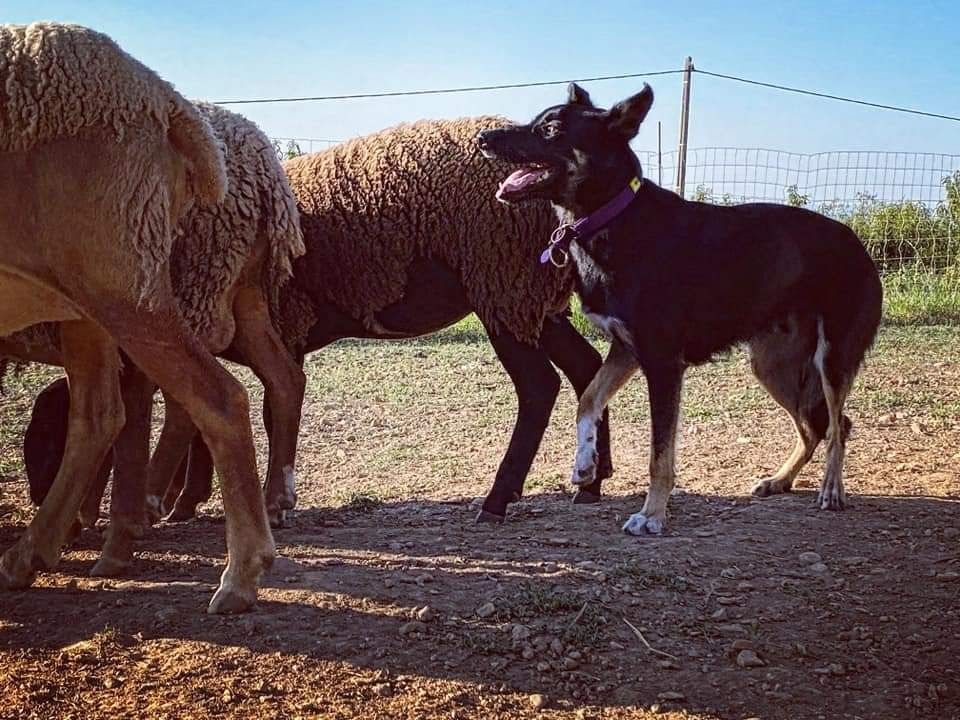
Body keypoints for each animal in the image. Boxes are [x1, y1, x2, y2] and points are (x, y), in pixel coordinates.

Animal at [0, 22, 272, 612]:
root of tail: (165, 99)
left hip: (119, 273)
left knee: (217, 397)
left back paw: (239, 575)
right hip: (88, 298)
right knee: (100, 412)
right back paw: (33, 554)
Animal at [476, 83, 880, 536]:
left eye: (550, 129)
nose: (482, 139)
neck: (613, 216)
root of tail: (857, 242)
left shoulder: (663, 364)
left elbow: (659, 455)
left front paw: (652, 515)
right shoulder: (626, 350)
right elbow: (588, 400)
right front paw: (584, 464)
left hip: (832, 359)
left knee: (838, 426)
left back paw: (831, 489)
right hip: (772, 366)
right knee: (813, 428)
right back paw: (780, 479)